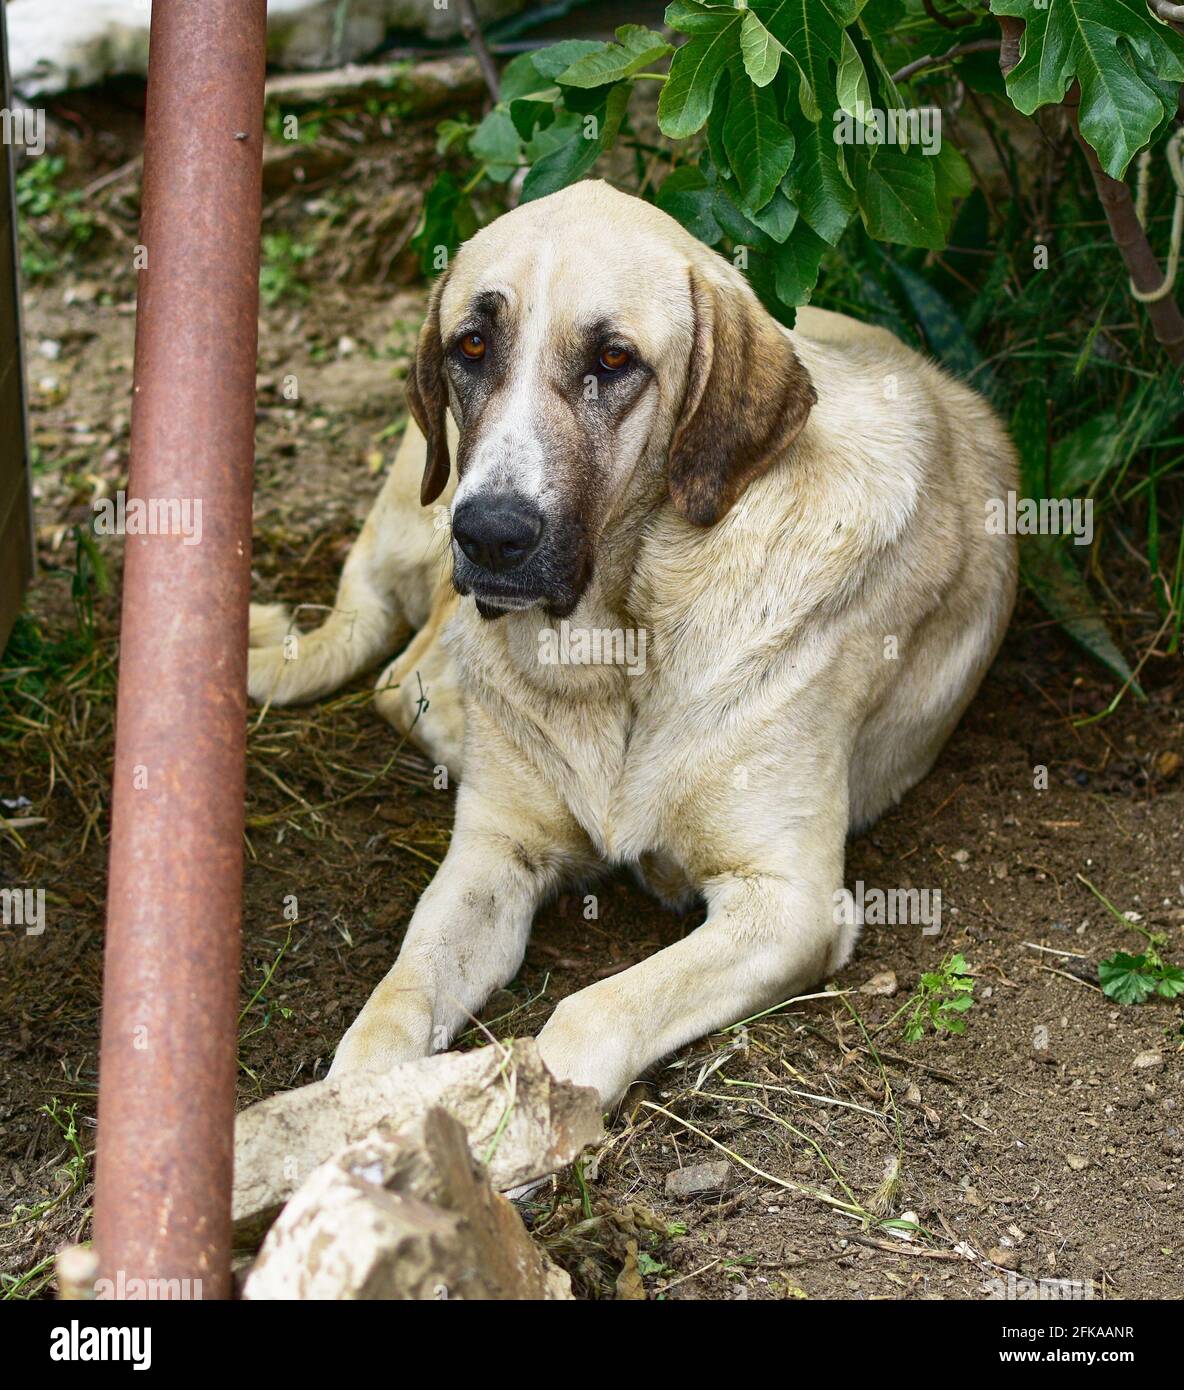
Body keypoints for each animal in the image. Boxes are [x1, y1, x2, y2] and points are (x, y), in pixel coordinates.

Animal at [247, 179, 1017, 1106]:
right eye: (471, 345)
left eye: (614, 360)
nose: (491, 533)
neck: (623, 638)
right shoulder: (490, 857)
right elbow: (397, 999)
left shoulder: (789, 904)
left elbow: (592, 1013)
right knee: (406, 678)